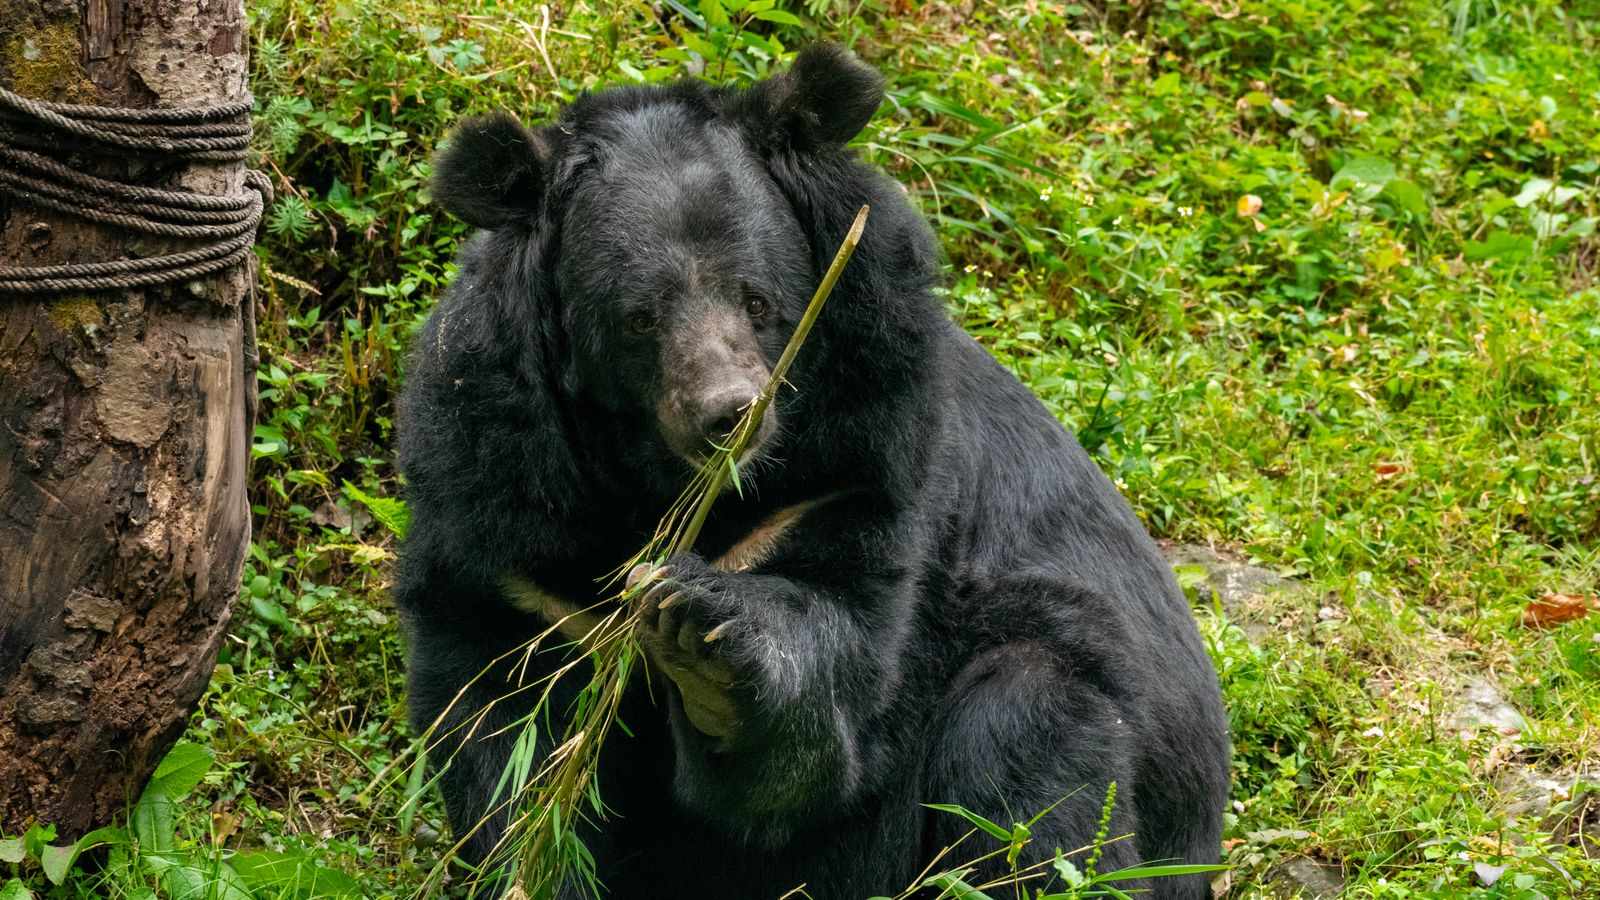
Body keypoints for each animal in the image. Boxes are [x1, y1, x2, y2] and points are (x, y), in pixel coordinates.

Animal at [395, 42, 1230, 900]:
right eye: (640, 319)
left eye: (757, 300)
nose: (731, 415)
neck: (673, 491)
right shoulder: (507, 518)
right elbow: (503, 729)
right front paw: (534, 861)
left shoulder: (859, 464)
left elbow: (830, 692)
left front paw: (704, 633)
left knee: (1029, 760)